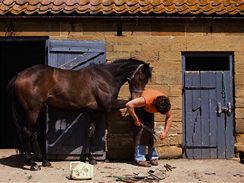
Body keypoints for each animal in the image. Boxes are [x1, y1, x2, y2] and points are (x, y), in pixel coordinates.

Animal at [7, 58, 151, 171]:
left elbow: (90, 132)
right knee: (27, 132)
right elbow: (125, 104)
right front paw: (92, 158)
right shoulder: (108, 106)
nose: (137, 97)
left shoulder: (94, 111)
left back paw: (44, 161)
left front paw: (89, 158)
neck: (105, 78)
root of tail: (19, 75)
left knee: (33, 133)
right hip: (32, 110)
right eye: (141, 77)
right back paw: (32, 163)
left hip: (34, 111)